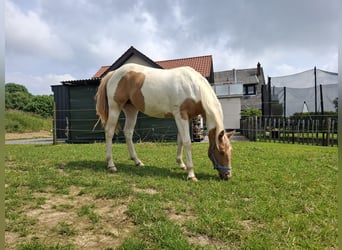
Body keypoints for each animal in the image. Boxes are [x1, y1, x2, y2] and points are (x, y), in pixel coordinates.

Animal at [96, 63, 235, 181]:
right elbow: (187, 142)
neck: (194, 87)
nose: (228, 176)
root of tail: (113, 73)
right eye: (221, 151)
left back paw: (137, 161)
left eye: (231, 150)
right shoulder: (181, 116)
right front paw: (191, 174)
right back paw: (111, 165)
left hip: (131, 110)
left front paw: (181, 164)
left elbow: (180, 140)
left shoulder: (186, 118)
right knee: (109, 132)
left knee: (128, 133)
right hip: (115, 107)